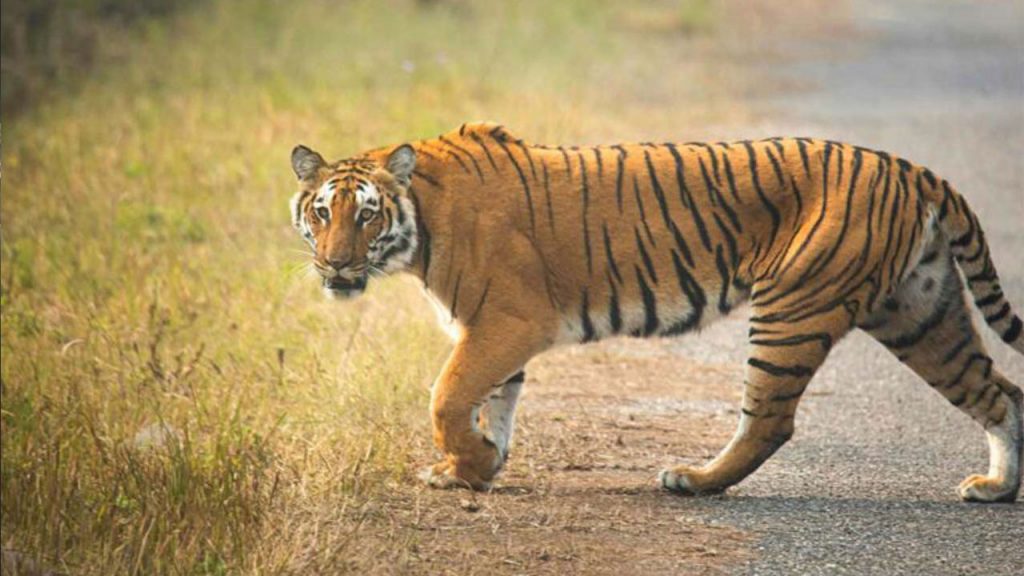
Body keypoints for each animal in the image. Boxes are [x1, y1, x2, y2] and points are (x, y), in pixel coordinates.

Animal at [288, 122, 1023, 502]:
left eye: (366, 214)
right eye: (320, 213)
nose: (335, 266)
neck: (420, 223)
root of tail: (912, 169)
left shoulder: (507, 322)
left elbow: (446, 395)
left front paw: (464, 465)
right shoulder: (490, 331)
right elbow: (492, 401)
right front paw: (478, 468)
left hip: (793, 309)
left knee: (770, 420)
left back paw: (693, 480)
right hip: (920, 313)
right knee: (1000, 392)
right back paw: (995, 487)